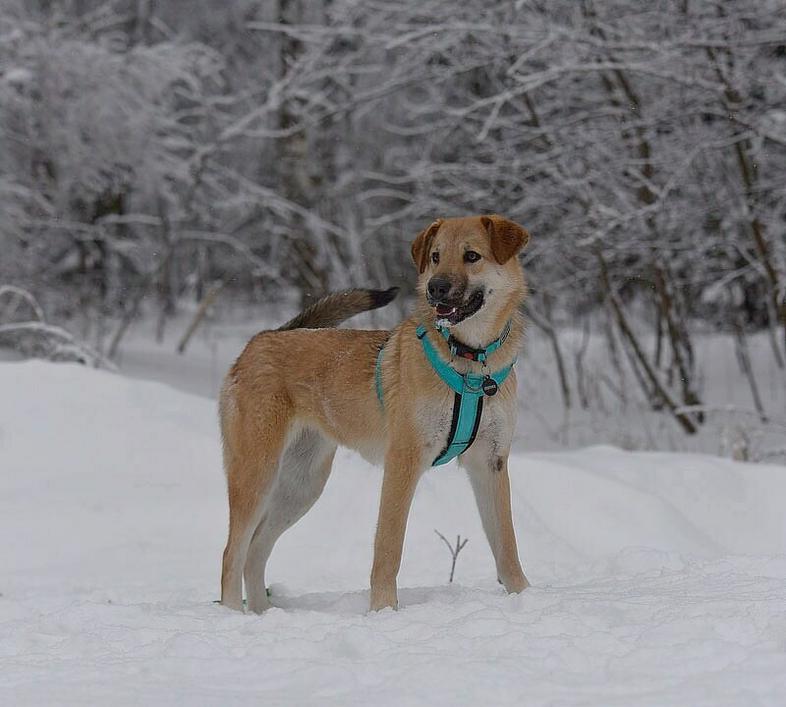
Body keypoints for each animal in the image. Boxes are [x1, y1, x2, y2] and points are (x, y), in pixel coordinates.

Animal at [217, 213, 528, 612]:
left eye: (471, 256)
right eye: (436, 256)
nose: (436, 288)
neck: (470, 361)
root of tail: (263, 337)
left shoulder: (491, 462)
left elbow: (507, 545)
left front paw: (524, 595)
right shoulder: (403, 462)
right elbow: (388, 549)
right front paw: (383, 610)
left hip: (301, 486)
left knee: (256, 551)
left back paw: (262, 615)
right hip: (257, 474)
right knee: (232, 553)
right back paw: (233, 614)